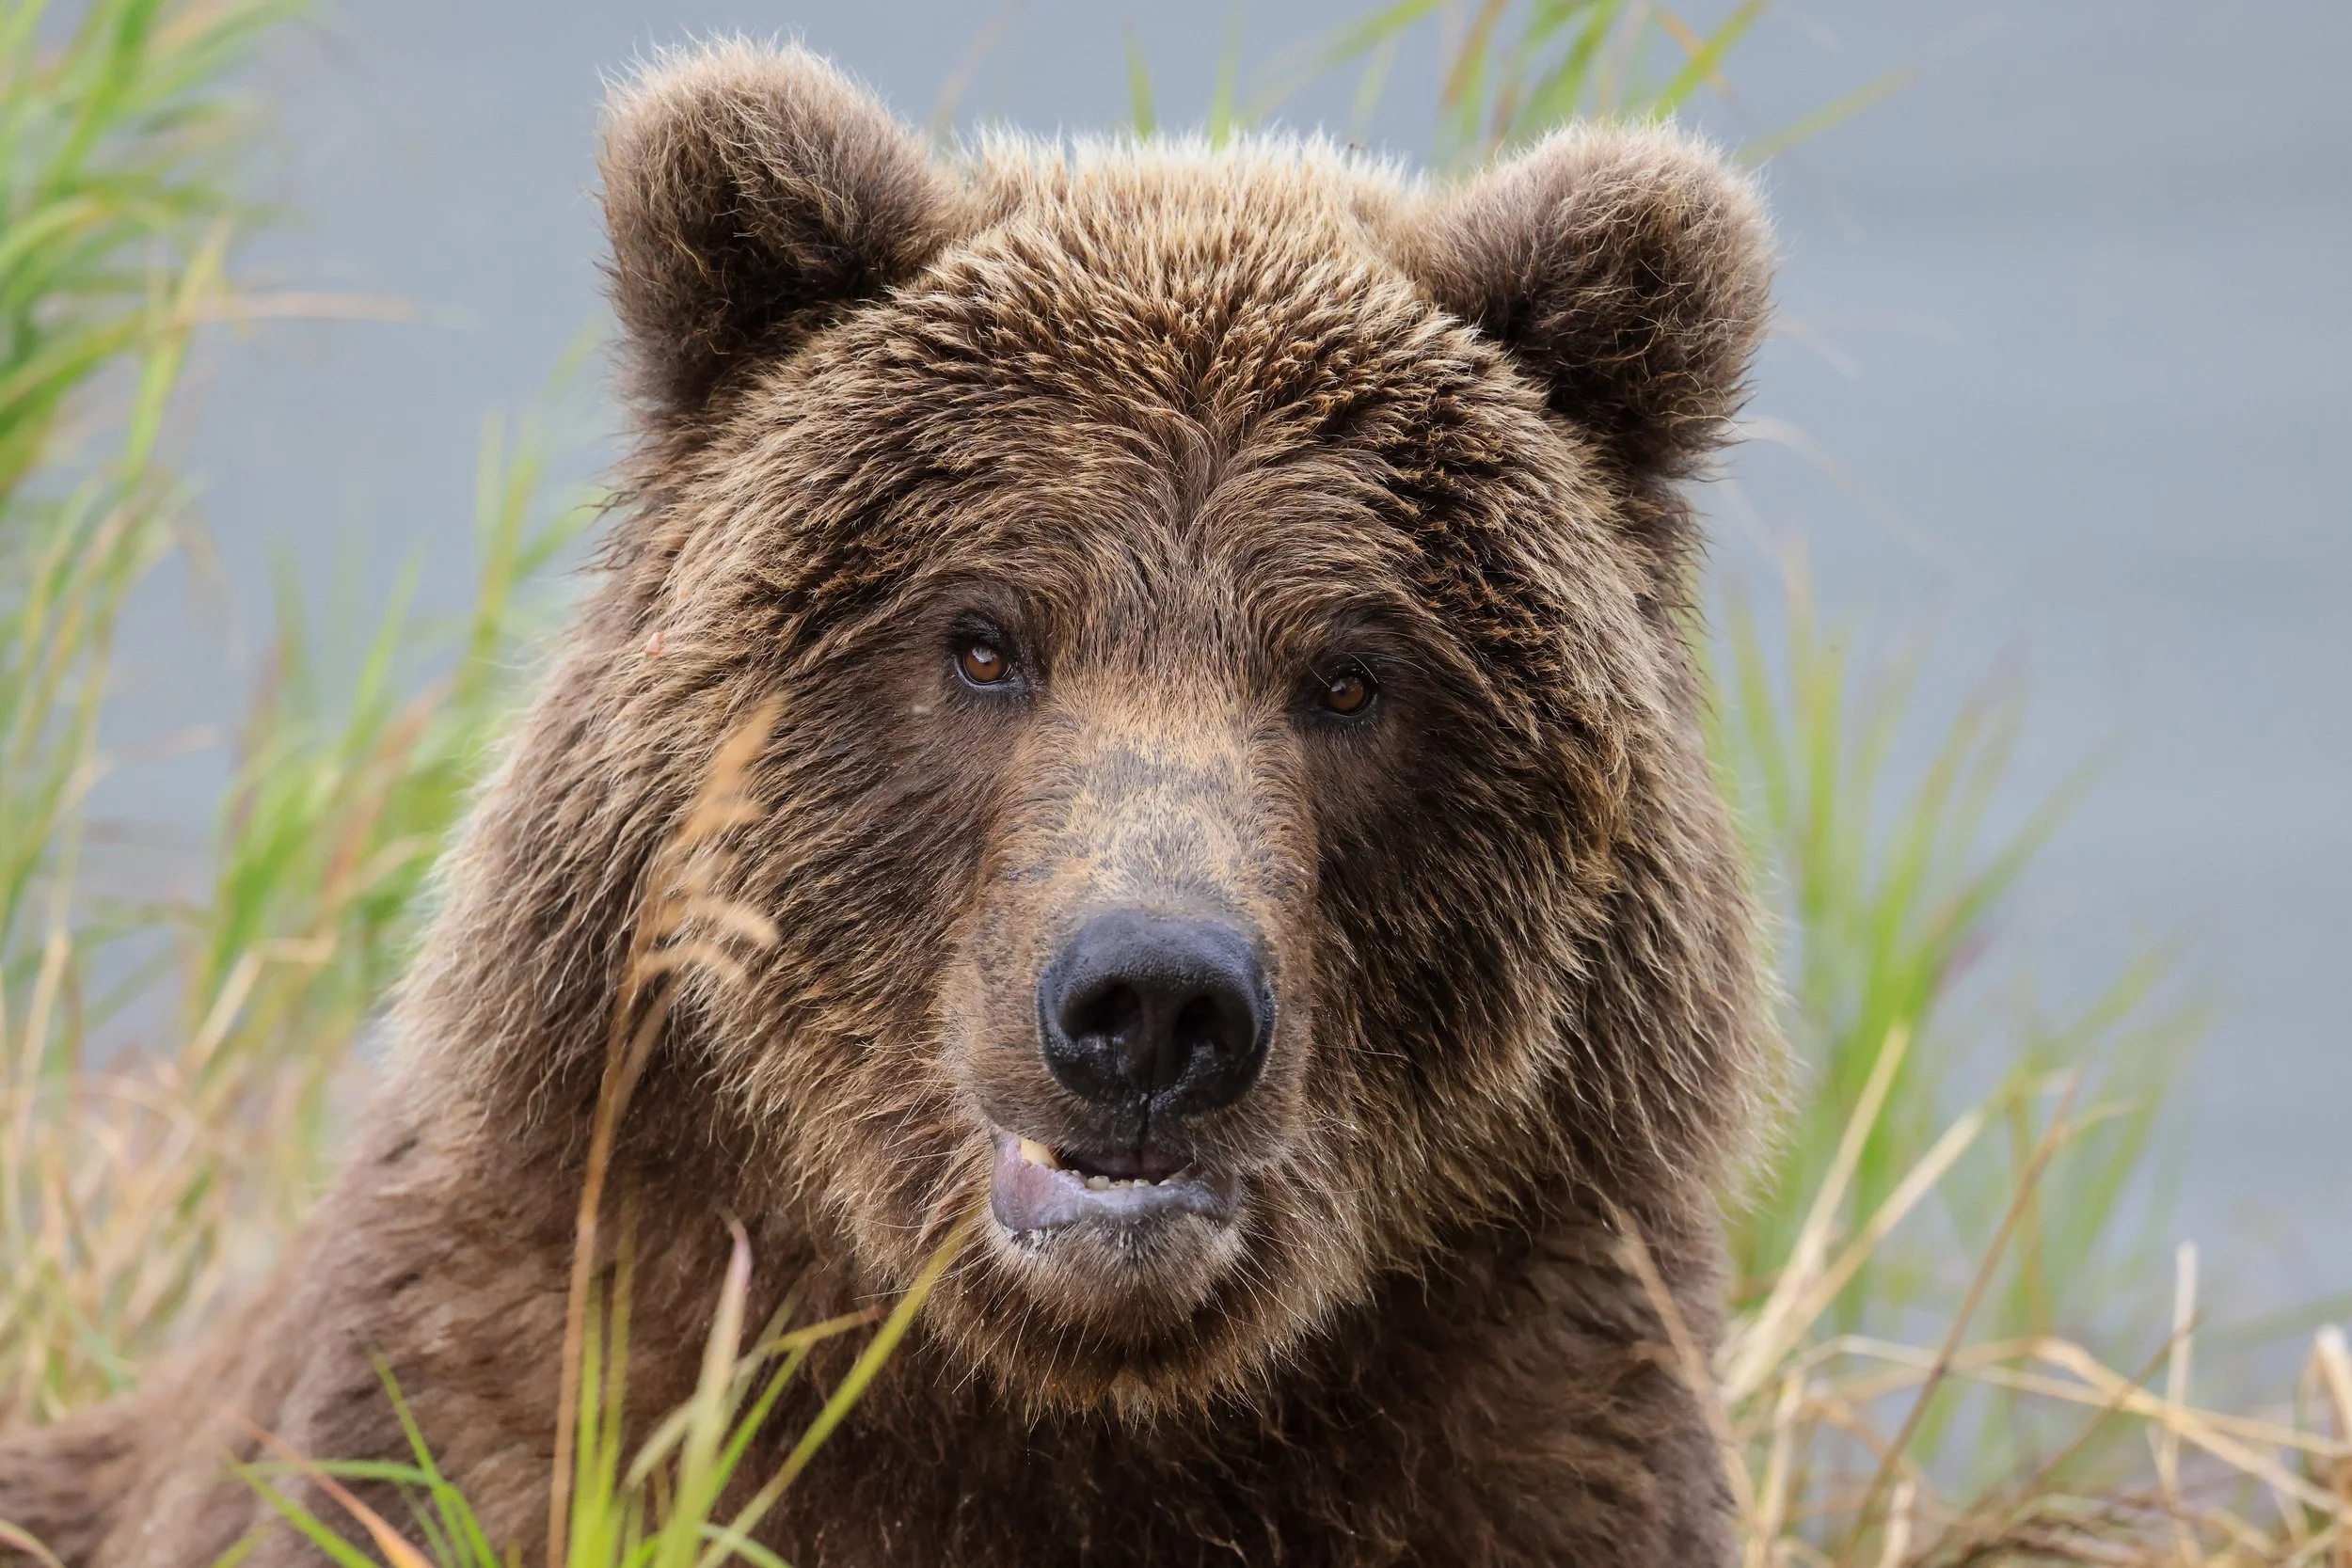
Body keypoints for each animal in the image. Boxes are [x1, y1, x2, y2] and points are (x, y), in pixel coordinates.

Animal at [0, 40, 1774, 1568]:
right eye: (983, 638)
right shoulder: (495, 1402)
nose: (1153, 1001)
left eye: (1348, 675)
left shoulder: (1543, 1443)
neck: (1055, 1398)